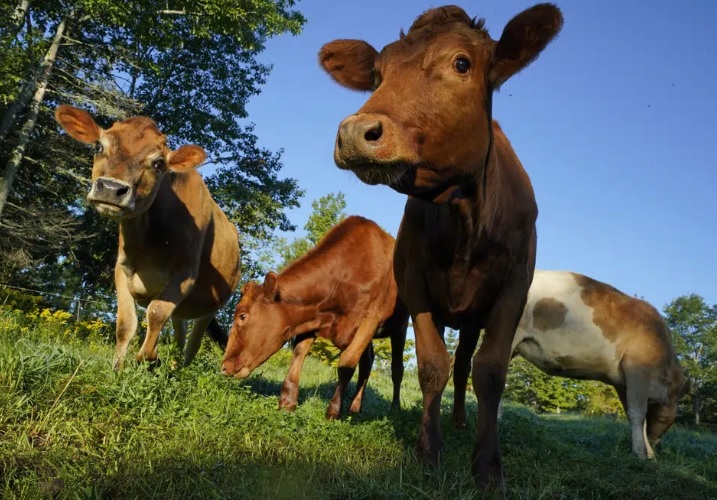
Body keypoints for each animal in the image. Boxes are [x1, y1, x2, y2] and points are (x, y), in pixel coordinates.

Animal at [53, 105, 243, 370]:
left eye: (159, 163)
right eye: (99, 146)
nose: (111, 189)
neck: (148, 243)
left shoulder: (184, 277)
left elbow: (156, 313)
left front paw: (148, 357)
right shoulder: (122, 269)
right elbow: (125, 324)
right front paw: (118, 368)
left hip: (213, 306)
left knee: (193, 342)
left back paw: (180, 368)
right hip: (183, 310)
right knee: (179, 332)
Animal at [218, 215, 408, 418]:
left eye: (242, 316)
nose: (224, 366)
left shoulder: (369, 320)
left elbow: (347, 363)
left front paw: (333, 411)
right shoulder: (311, 317)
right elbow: (299, 353)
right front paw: (287, 402)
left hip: (400, 327)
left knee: (397, 369)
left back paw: (394, 409)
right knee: (367, 364)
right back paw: (355, 408)